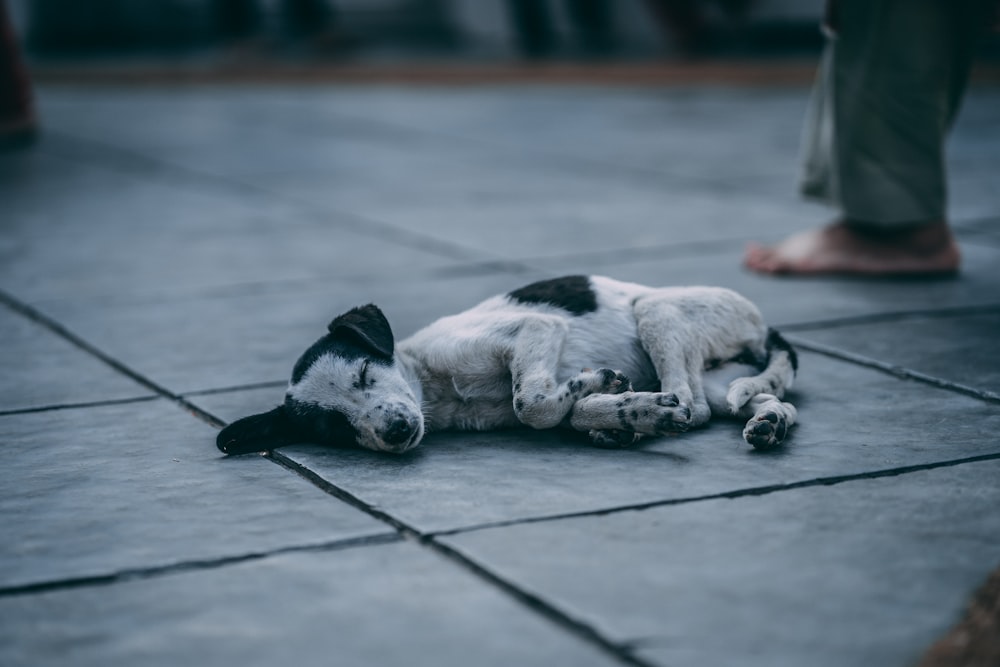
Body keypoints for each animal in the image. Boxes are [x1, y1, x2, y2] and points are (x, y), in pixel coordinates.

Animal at [219, 276, 796, 454]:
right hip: (723, 376)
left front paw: (608, 395)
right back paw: (768, 423)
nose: (397, 431)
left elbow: (530, 403)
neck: (437, 392)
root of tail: (763, 325)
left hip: (655, 313)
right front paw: (613, 406)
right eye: (334, 428)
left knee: (695, 406)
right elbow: (547, 409)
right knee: (760, 398)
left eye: (363, 375)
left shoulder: (534, 329)